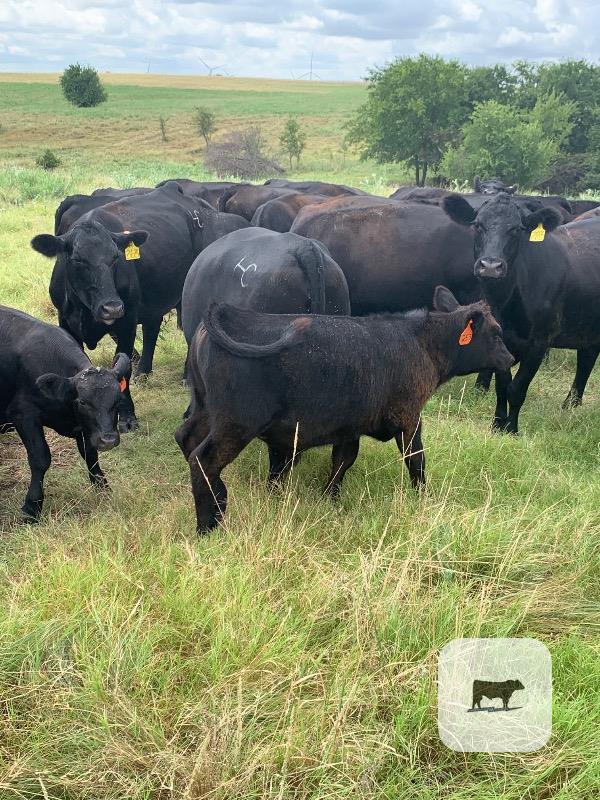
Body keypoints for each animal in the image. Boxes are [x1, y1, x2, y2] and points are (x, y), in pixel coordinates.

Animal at [0, 305, 130, 522]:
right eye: (82, 402)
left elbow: (90, 454)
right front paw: (32, 507)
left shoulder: (86, 428)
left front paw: (102, 487)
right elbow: (40, 458)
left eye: (118, 400)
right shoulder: (23, 414)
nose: (109, 440)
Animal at [32, 182, 249, 430]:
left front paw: (127, 417)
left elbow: (123, 367)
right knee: (152, 329)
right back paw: (144, 371)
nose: (112, 307)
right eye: (77, 259)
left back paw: (185, 376)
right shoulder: (66, 321)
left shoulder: (126, 322)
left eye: (116, 257)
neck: (86, 310)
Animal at [175, 287, 513, 532]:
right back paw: (209, 525)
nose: (510, 359)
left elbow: (342, 462)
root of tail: (228, 312)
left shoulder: (349, 427)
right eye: (497, 332)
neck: (421, 342)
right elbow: (416, 460)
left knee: (184, 438)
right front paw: (423, 497)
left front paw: (330, 498)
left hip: (205, 410)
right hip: (236, 424)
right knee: (203, 460)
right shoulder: (409, 417)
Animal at [442, 192, 600, 432]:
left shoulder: (540, 342)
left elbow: (517, 388)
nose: (490, 266)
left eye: (516, 229)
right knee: (587, 358)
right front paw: (497, 424)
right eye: (478, 225)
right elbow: (502, 385)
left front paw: (511, 429)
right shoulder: (501, 338)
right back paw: (570, 405)